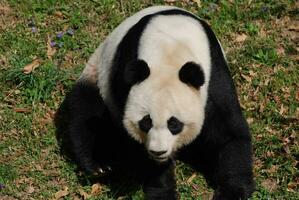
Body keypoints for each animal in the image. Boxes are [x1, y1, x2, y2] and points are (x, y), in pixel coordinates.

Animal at [58, 5, 255, 199]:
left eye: (174, 124)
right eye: (146, 122)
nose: (158, 152)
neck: (170, 50)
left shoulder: (214, 76)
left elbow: (228, 133)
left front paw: (232, 191)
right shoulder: (125, 76)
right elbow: (137, 145)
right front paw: (163, 191)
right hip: (97, 75)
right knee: (86, 112)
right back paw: (100, 165)